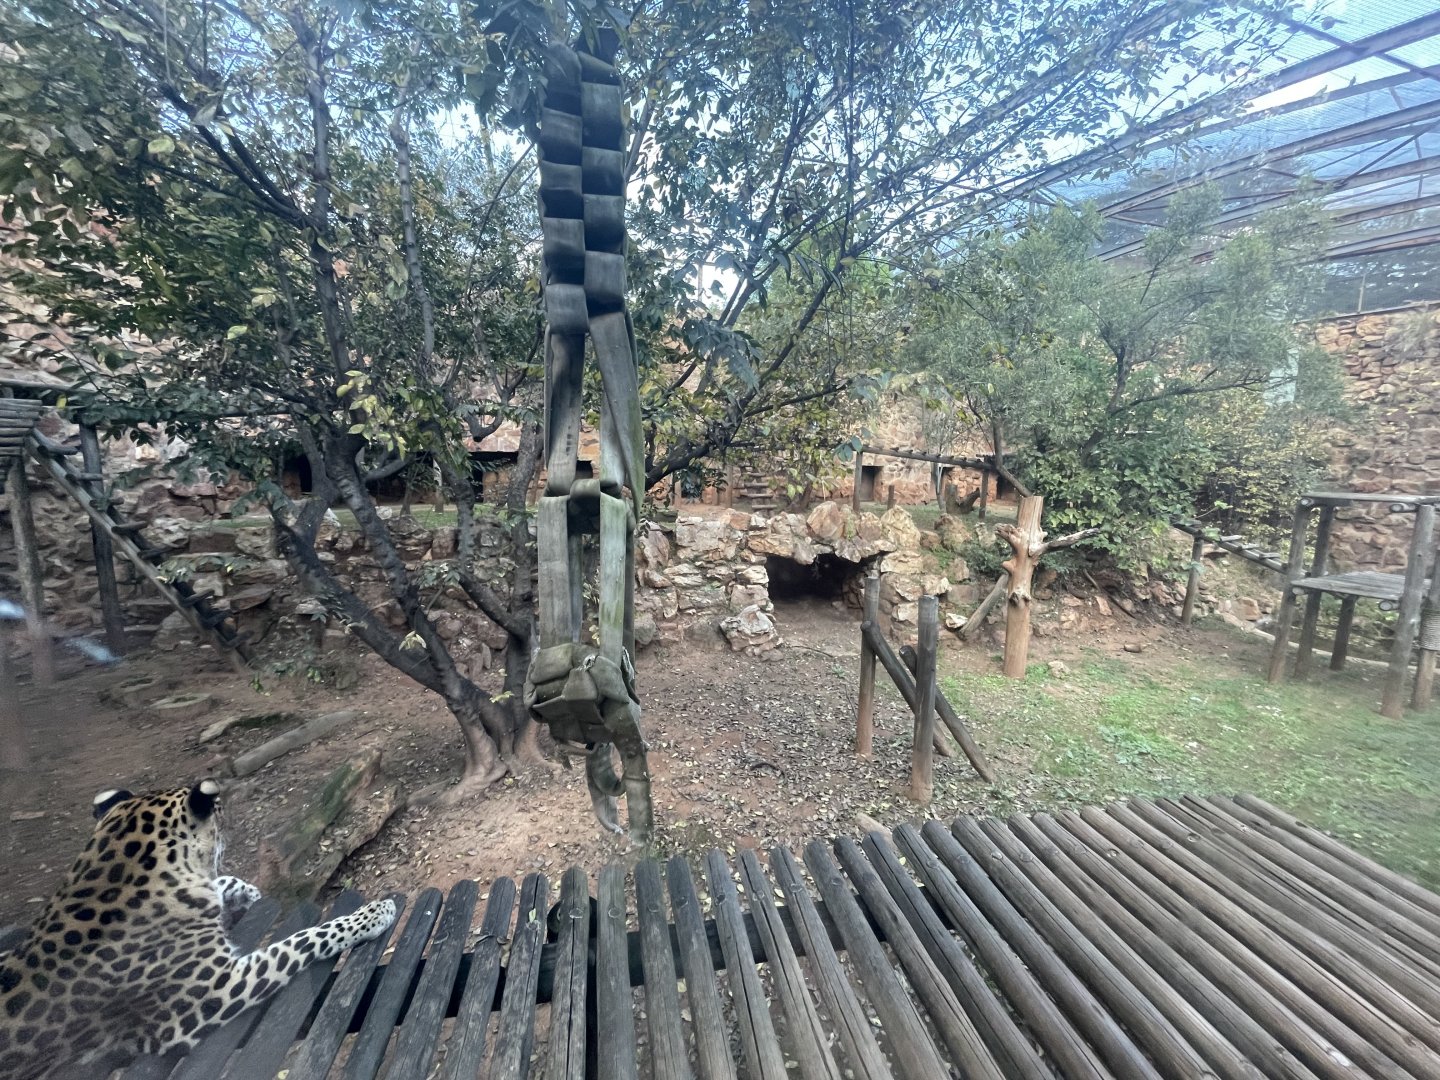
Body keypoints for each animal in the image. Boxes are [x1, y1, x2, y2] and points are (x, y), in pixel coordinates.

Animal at [0, 780, 397, 1080]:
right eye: (219, 818)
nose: (229, 834)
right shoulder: (215, 992)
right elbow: (304, 938)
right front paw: (374, 913)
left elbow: (221, 885)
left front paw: (245, 893)